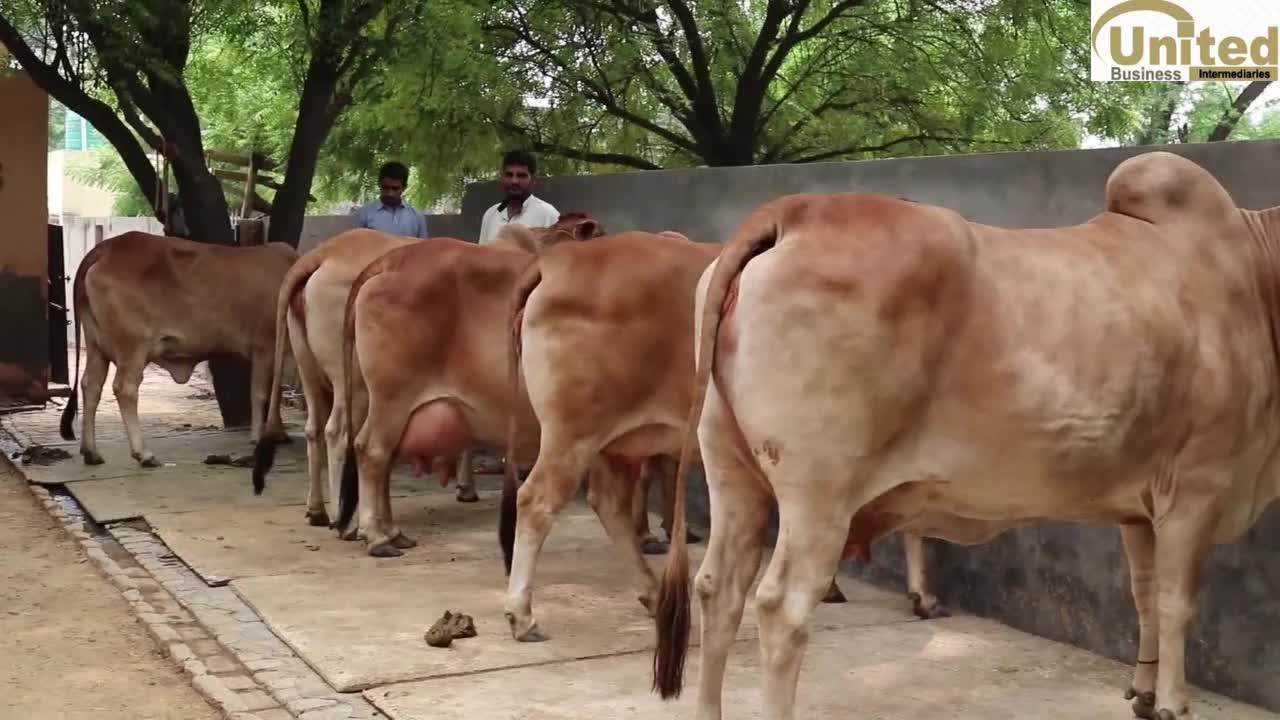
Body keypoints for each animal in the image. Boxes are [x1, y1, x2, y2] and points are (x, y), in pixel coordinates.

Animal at [58, 231, 298, 467]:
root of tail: (107, 247)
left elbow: (276, 392)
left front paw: (279, 432)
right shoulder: (264, 346)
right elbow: (262, 394)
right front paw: (259, 437)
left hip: (96, 345)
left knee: (91, 386)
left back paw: (91, 452)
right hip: (133, 347)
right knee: (125, 388)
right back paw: (143, 453)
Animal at [330, 215, 610, 557]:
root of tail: (392, 261)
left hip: (375, 398)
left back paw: (392, 531)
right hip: (391, 397)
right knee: (372, 450)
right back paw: (377, 537)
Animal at [499, 230, 943, 643]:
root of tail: (557, 259)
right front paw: (919, 594)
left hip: (618, 443)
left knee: (608, 504)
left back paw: (652, 593)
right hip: (571, 434)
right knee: (536, 502)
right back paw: (523, 614)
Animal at [650, 150, 1280, 720]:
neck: (1255, 274)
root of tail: (793, 211)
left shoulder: (1141, 502)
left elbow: (1144, 594)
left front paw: (1144, 692)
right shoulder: (1197, 485)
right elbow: (1177, 602)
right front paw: (1173, 701)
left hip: (731, 472)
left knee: (718, 589)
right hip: (818, 493)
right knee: (782, 610)